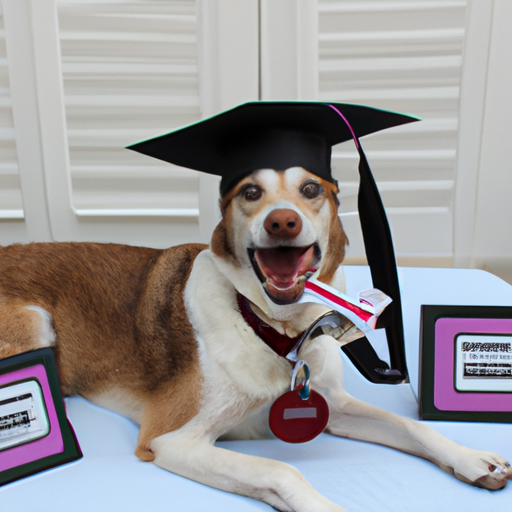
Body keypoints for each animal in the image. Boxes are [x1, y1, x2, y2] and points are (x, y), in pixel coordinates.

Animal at [0, 166, 510, 510]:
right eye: (251, 192)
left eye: (310, 189)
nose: (281, 221)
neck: (278, 334)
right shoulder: (171, 439)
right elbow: (281, 469)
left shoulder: (332, 405)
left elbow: (411, 426)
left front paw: (471, 458)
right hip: (34, 325)